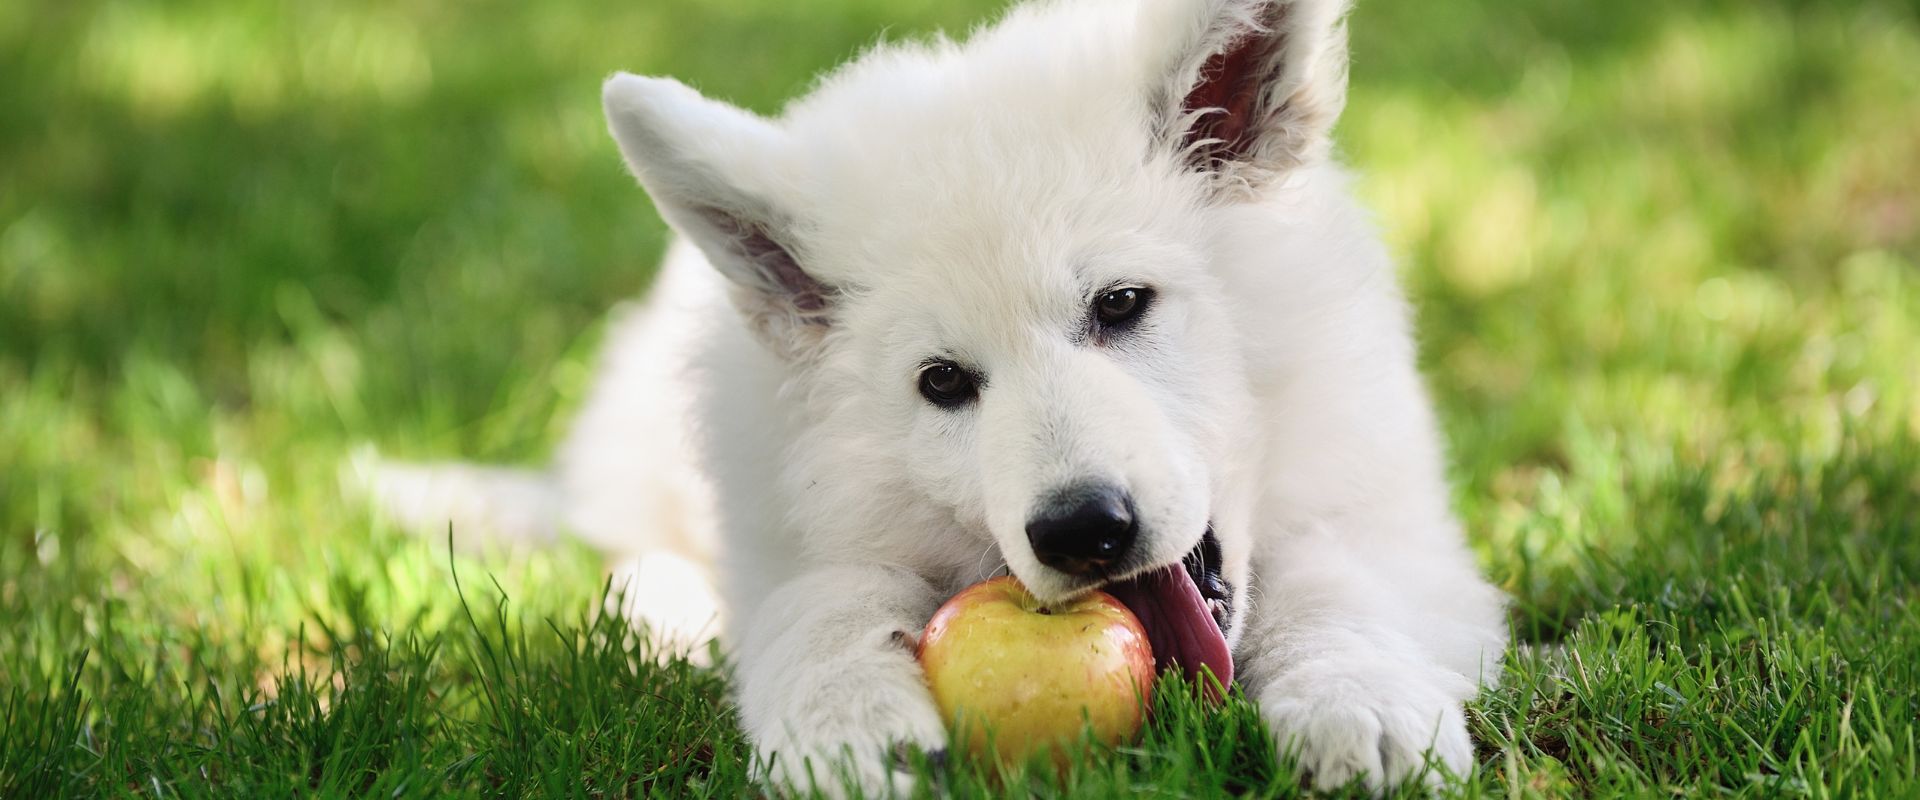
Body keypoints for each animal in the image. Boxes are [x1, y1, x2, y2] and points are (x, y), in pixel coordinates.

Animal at [378, 0, 1512, 790]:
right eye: (943, 383)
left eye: (1121, 304)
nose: (1082, 531)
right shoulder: (797, 529)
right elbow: (820, 603)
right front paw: (846, 726)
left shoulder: (1390, 518)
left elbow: (1338, 586)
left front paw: (1357, 702)